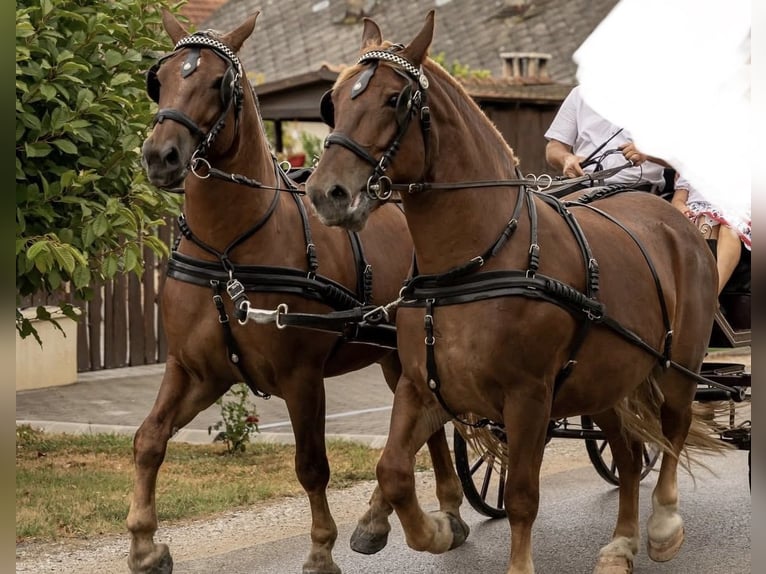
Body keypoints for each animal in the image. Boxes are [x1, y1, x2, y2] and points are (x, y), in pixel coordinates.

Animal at [130, 10, 461, 574]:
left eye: (219, 84)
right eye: (163, 78)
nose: (160, 156)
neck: (228, 253)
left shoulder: (301, 377)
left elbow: (311, 466)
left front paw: (321, 550)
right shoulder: (195, 370)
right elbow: (149, 439)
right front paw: (144, 544)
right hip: (397, 357)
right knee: (429, 426)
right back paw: (432, 514)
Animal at [305, 11, 724, 574]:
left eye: (395, 99)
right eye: (333, 99)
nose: (326, 193)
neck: (470, 266)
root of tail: (672, 220)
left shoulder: (528, 397)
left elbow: (523, 494)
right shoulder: (421, 386)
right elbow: (392, 469)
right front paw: (435, 530)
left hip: (679, 365)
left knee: (674, 432)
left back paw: (662, 526)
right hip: (605, 382)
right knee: (629, 454)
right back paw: (621, 543)